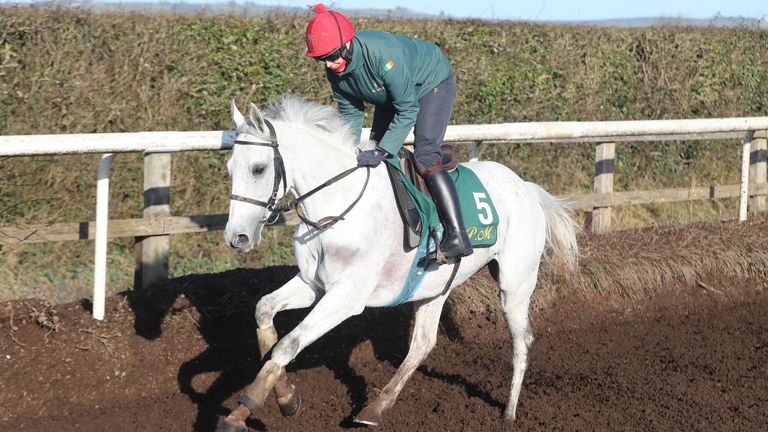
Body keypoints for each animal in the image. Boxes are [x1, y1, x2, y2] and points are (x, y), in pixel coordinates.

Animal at [216, 95, 576, 432]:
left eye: (258, 168)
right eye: (230, 169)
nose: (237, 237)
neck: (338, 206)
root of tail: (526, 187)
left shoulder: (347, 296)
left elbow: (287, 344)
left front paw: (243, 409)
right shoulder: (313, 284)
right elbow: (264, 311)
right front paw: (285, 396)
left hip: (515, 284)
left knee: (521, 340)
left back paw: (509, 412)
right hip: (436, 287)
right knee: (423, 344)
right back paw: (376, 408)